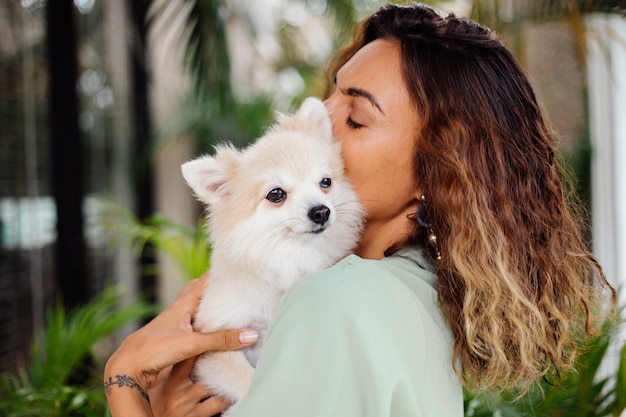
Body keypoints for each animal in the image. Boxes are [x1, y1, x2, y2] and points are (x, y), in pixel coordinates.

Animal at [179, 96, 360, 412]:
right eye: (276, 194)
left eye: (325, 182)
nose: (321, 211)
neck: (289, 259)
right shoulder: (211, 345)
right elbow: (249, 381)